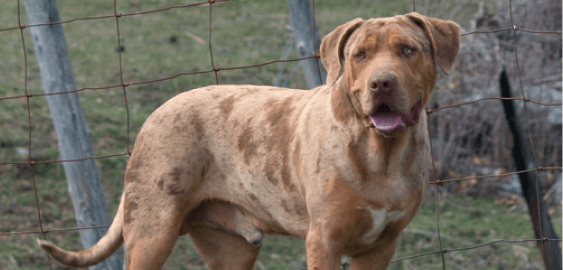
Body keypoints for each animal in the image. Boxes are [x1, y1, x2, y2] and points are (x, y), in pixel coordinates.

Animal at [37, 11, 460, 268]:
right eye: (360, 55)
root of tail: (158, 111)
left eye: (408, 50)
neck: (381, 156)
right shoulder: (324, 241)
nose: (381, 82)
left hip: (230, 250)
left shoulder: (381, 246)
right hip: (151, 231)